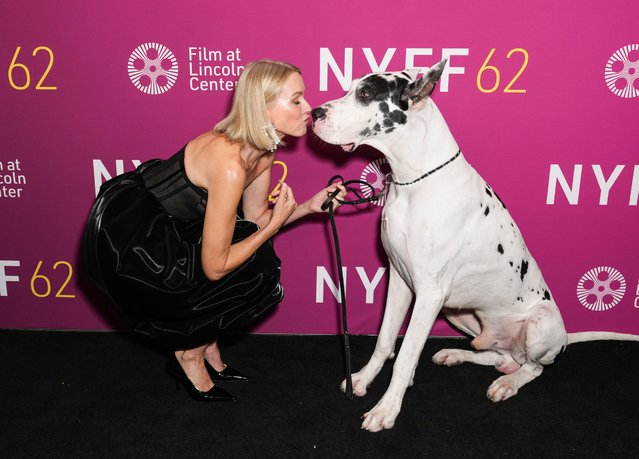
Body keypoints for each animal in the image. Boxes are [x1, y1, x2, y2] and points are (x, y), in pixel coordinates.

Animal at [312, 60, 639, 432]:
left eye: (366, 94)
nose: (314, 113)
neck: (414, 181)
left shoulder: (429, 294)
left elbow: (406, 355)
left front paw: (387, 408)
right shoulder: (399, 280)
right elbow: (384, 340)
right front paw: (364, 379)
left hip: (539, 322)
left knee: (534, 367)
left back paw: (508, 382)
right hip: (460, 314)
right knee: (497, 353)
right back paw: (458, 354)